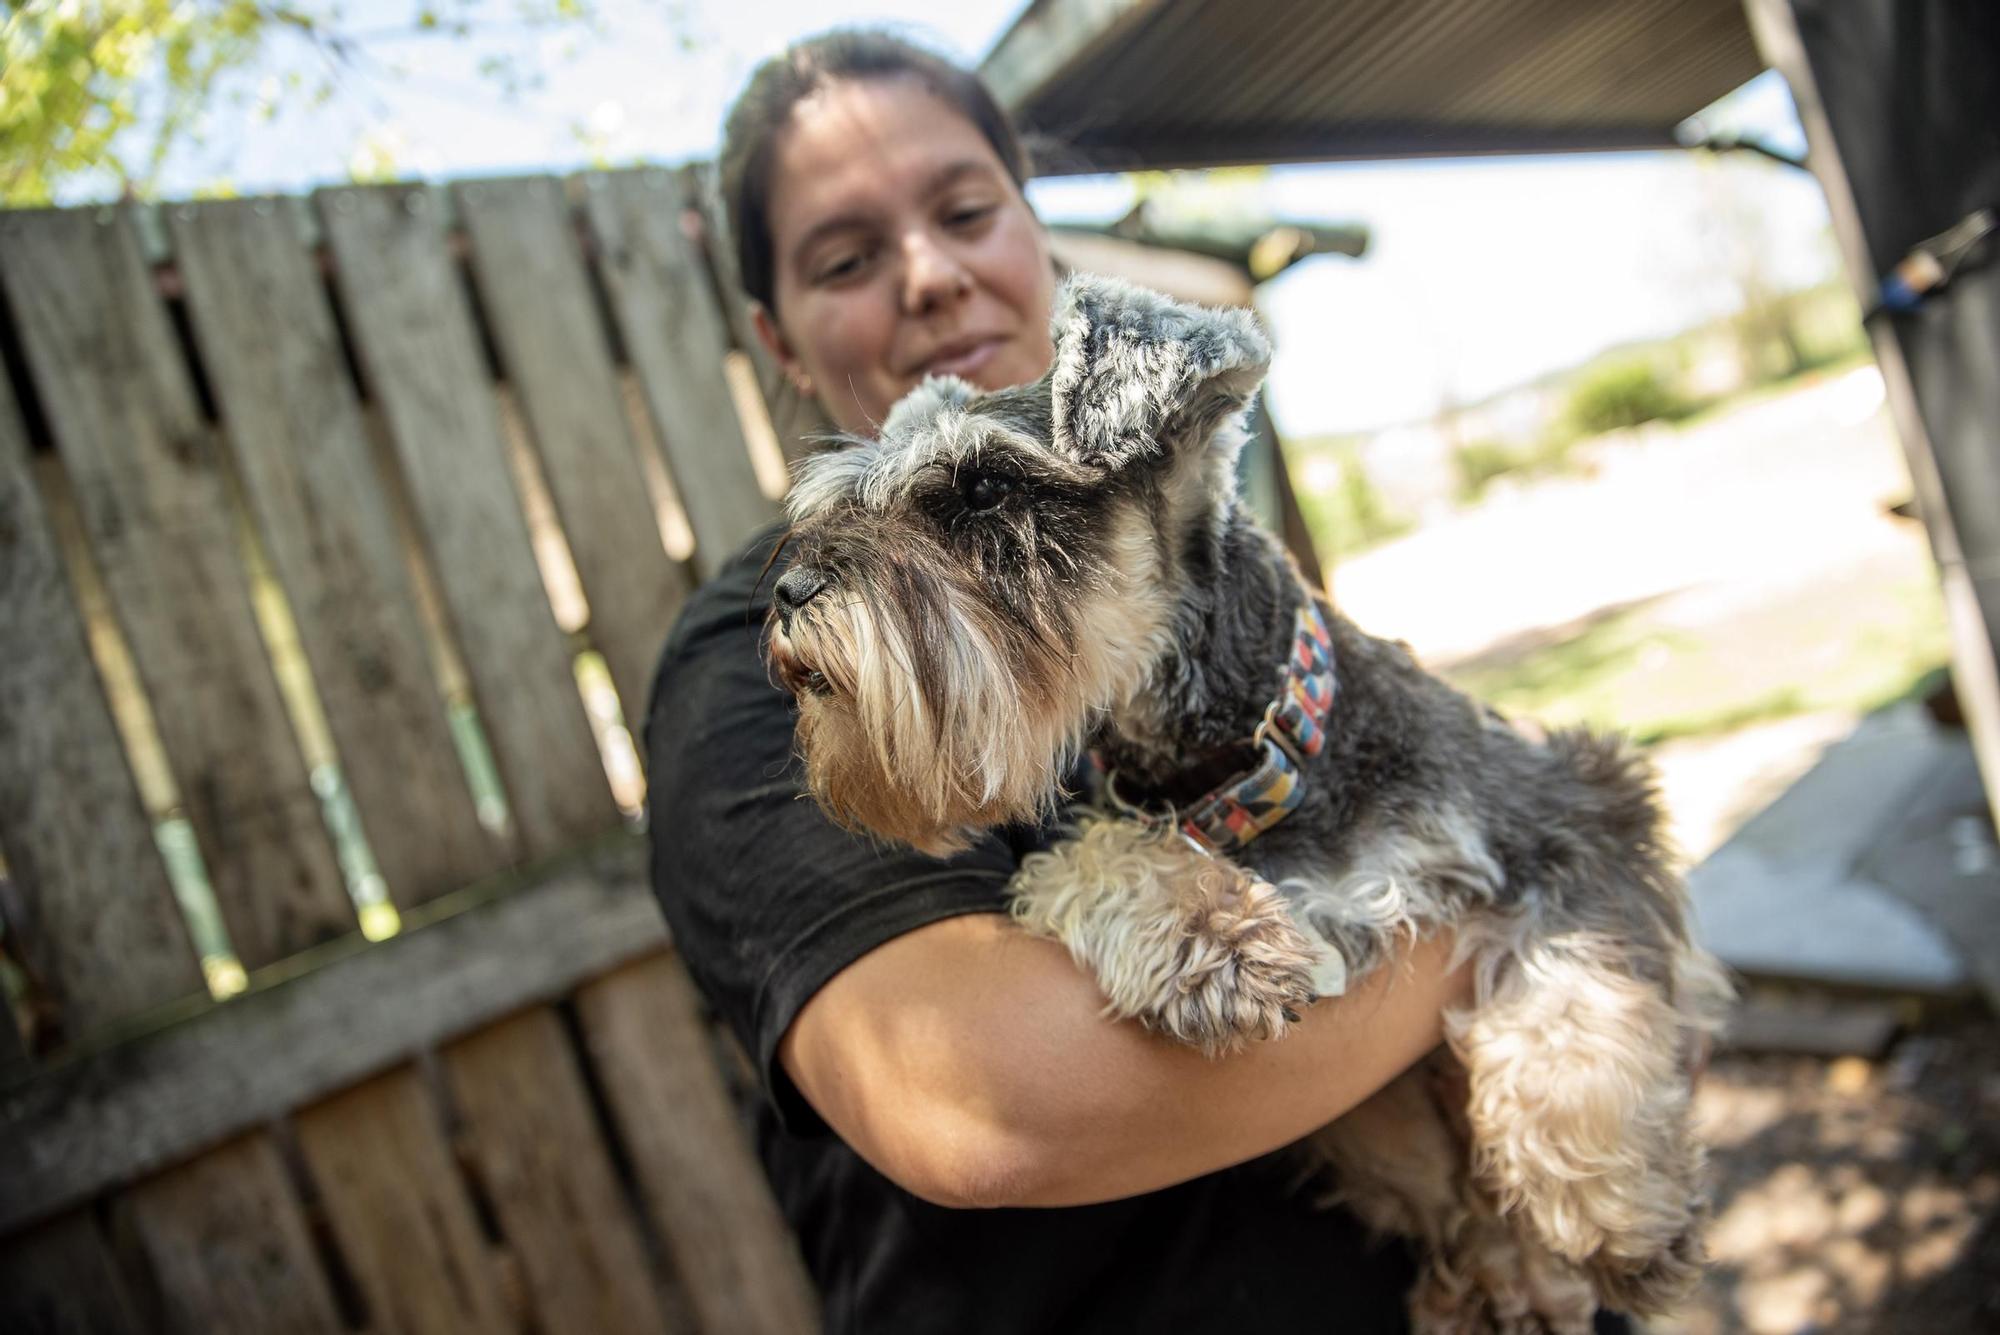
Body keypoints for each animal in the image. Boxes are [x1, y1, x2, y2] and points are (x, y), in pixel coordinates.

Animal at [764, 275, 1736, 1327]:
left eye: (985, 487)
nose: (790, 590)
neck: (1240, 764)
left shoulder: (1579, 805)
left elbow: (1575, 991)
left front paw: (1621, 1214)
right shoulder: (1112, 829)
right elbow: (1089, 857)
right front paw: (1211, 936)